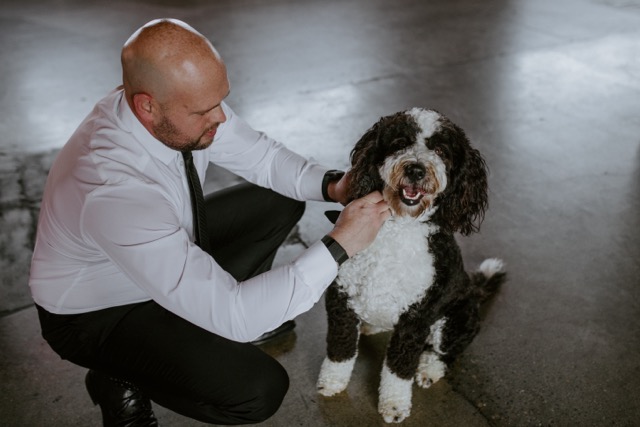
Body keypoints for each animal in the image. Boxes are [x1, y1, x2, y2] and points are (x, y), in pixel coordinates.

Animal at [318, 108, 508, 422]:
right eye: (399, 143)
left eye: (441, 151)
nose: (416, 170)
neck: (398, 225)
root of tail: (474, 292)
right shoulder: (340, 299)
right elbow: (340, 348)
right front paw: (332, 381)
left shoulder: (416, 318)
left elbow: (398, 369)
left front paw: (394, 405)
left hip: (456, 320)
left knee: (445, 353)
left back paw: (430, 368)